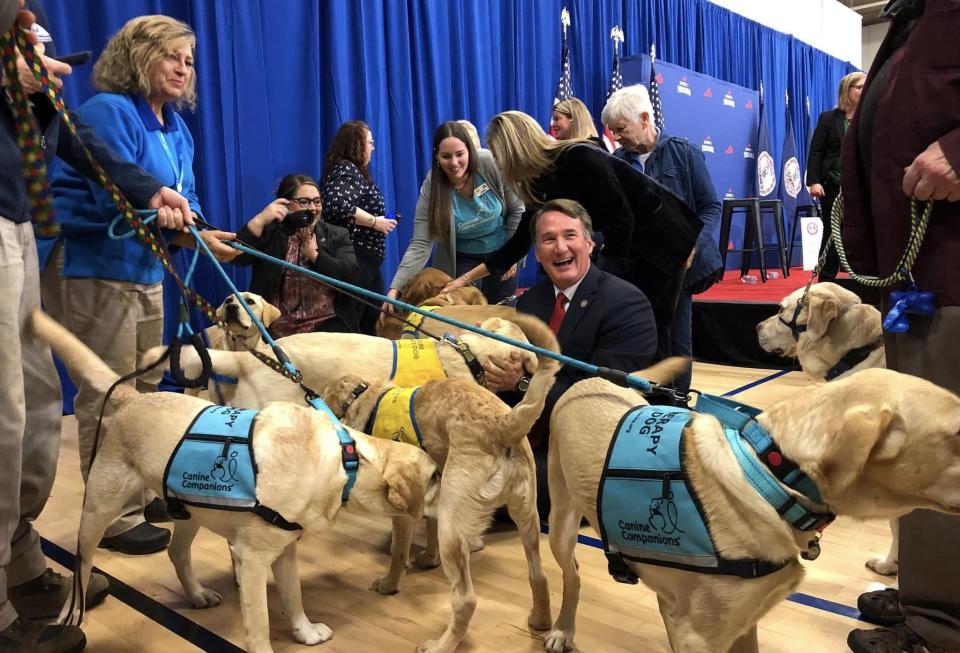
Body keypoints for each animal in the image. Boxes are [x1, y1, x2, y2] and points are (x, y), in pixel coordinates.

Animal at [29, 310, 442, 652]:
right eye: (435, 475)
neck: (345, 458)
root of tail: (135, 398)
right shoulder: (253, 559)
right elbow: (258, 623)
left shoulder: (285, 549)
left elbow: (294, 596)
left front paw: (305, 632)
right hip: (97, 512)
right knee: (82, 568)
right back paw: (72, 613)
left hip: (190, 511)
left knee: (177, 553)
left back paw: (196, 595)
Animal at [544, 356, 960, 652]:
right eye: (956, 434)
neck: (771, 478)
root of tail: (591, 379)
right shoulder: (702, 637)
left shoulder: (739, 625)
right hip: (561, 522)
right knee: (573, 575)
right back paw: (563, 629)